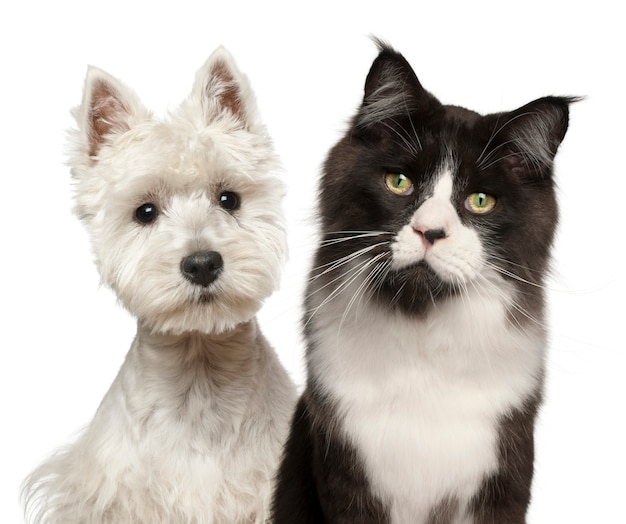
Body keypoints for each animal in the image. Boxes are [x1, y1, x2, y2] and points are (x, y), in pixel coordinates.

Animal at [270, 42, 572, 524]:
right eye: (400, 182)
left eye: (480, 201)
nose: (430, 232)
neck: (422, 330)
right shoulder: (345, 473)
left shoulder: (504, 471)